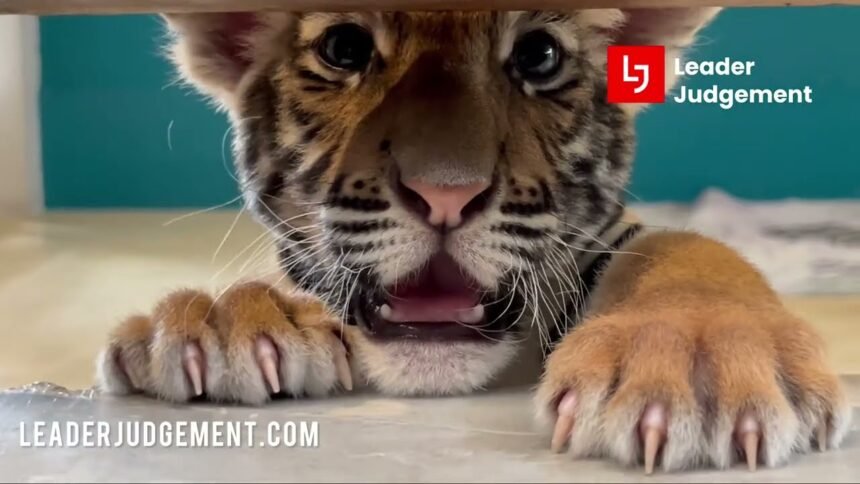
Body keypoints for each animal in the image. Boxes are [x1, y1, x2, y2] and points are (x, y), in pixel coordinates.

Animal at [95, 7, 851, 473]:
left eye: (539, 56)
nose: (446, 192)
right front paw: (226, 320)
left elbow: (683, 250)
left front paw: (696, 360)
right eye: (345, 49)